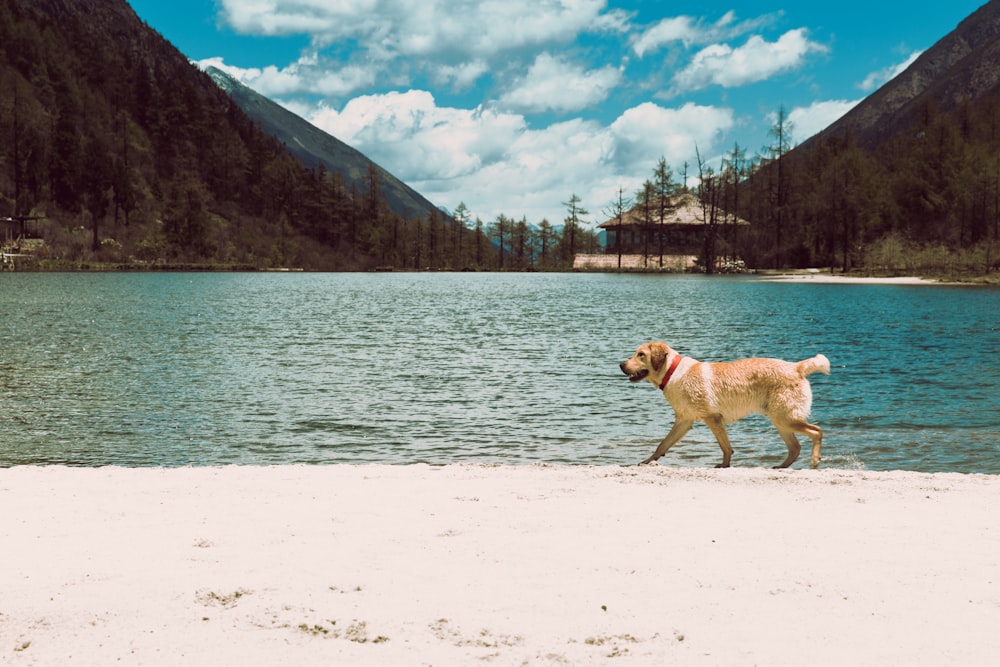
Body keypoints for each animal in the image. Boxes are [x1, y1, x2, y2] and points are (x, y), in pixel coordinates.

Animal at [620, 344, 832, 470]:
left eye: (641, 355)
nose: (621, 364)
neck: (672, 372)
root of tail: (797, 366)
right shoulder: (684, 421)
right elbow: (662, 444)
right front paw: (647, 462)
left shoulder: (712, 418)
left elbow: (725, 447)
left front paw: (724, 465)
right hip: (781, 421)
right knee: (795, 447)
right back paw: (781, 467)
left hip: (785, 418)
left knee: (817, 431)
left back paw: (814, 460)